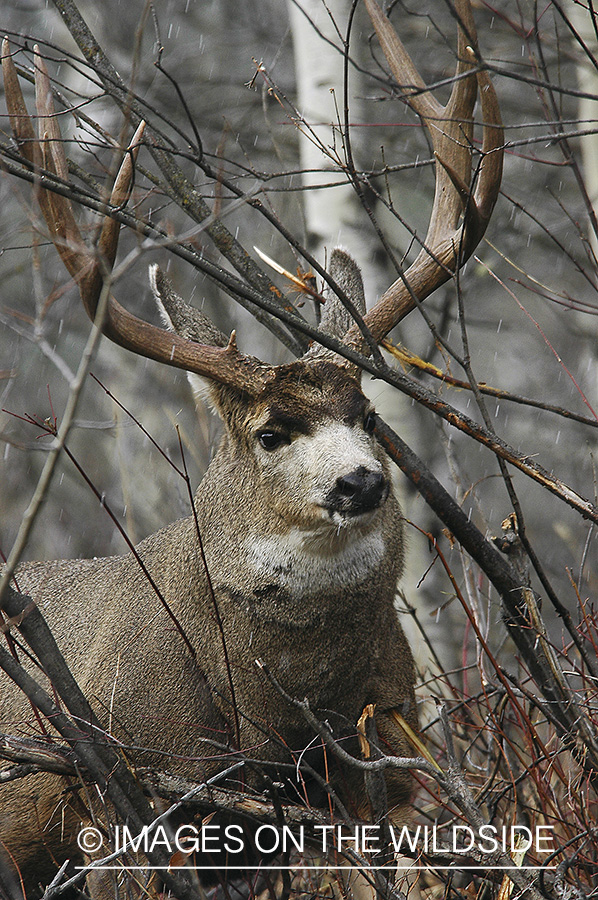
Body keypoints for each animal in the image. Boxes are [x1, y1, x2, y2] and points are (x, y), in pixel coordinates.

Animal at [0, 0, 502, 896]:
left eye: (368, 415)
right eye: (271, 432)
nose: (361, 482)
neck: (278, 713)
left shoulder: (376, 777)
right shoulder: (116, 803)